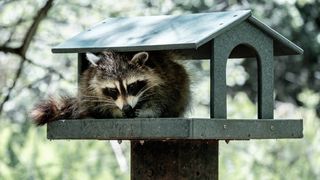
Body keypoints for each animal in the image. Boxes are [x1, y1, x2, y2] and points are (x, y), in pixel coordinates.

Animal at [31, 51, 189, 126]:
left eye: (132, 86)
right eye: (113, 90)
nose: (126, 108)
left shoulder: (165, 79)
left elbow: (160, 101)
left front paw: (147, 111)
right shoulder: (89, 87)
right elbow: (99, 108)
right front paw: (116, 112)